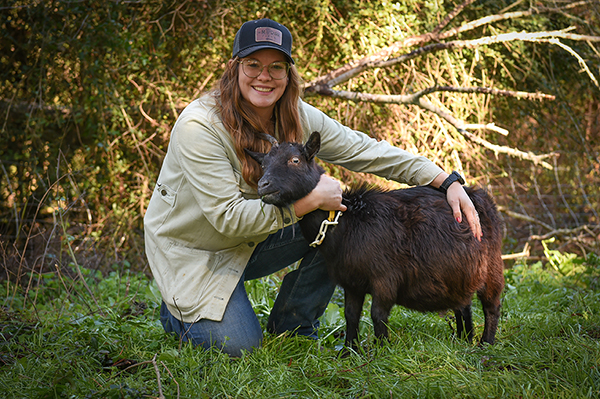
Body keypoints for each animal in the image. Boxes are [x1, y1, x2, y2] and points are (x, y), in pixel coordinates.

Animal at [246, 132, 504, 354]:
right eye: (263, 163)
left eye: (295, 160)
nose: (263, 186)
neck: (348, 221)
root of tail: (481, 196)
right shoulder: (351, 282)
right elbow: (351, 315)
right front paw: (349, 351)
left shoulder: (385, 278)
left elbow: (377, 314)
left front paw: (382, 351)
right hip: (460, 272)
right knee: (463, 304)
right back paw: (463, 339)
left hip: (491, 268)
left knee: (491, 305)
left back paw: (485, 344)